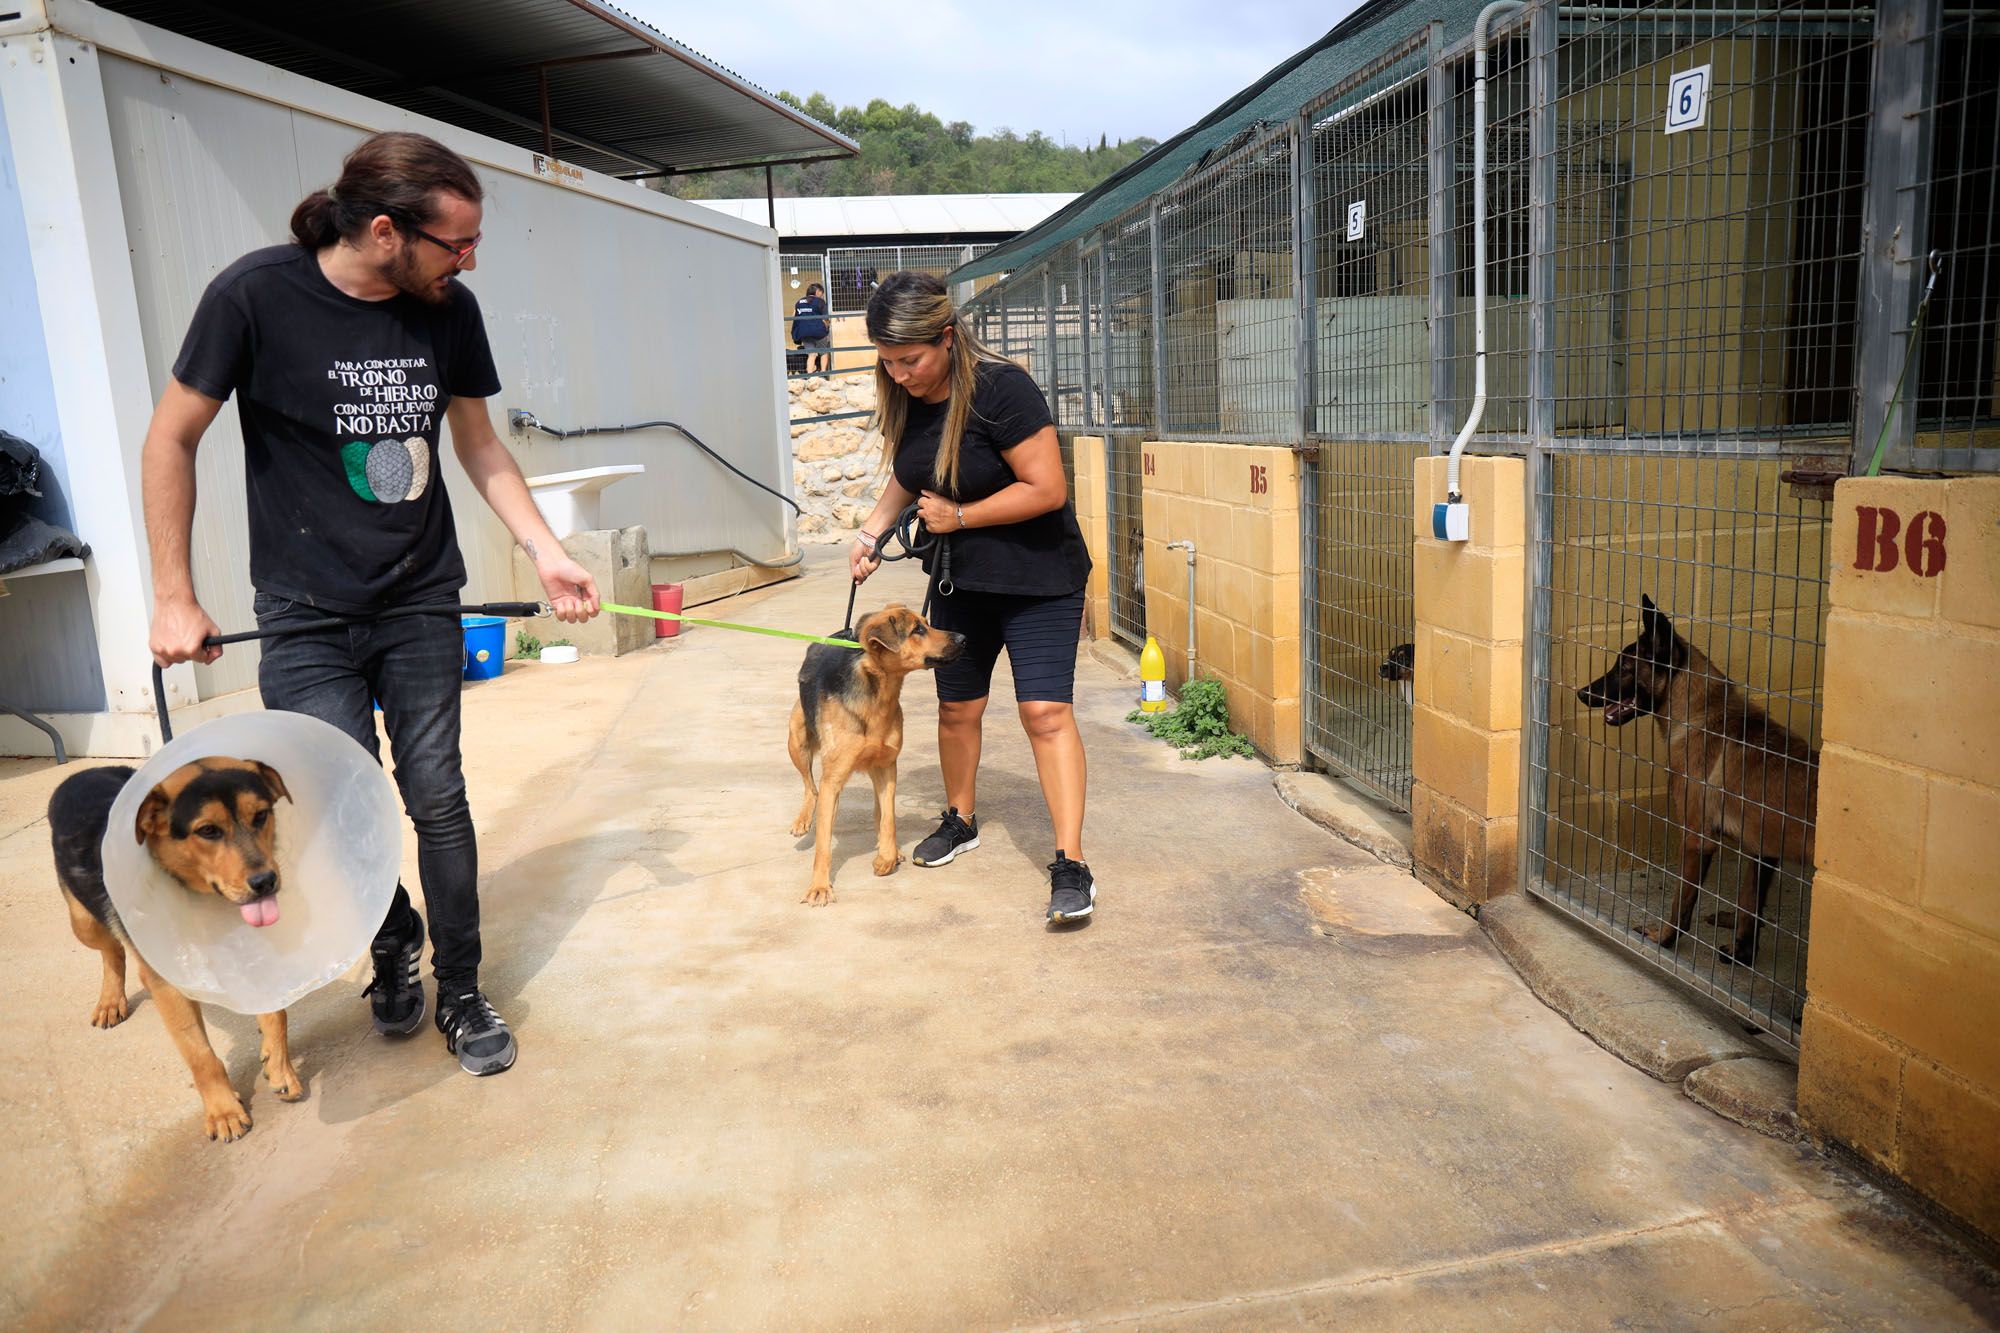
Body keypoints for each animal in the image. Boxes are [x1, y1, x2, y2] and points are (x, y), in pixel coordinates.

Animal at [48, 752, 300, 1136]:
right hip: (84, 923)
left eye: (261, 815)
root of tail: (82, 772)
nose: (265, 882)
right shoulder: (166, 984)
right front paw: (223, 1111)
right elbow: (198, 1053)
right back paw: (110, 1001)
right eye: (207, 830)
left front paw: (279, 1066)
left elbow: (278, 1013)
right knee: (112, 949)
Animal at [784, 600, 964, 904]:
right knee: (811, 787)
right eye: (917, 630)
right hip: (796, 740)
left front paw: (887, 857)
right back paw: (803, 820)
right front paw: (819, 886)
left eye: (926, 624)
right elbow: (823, 842)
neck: (878, 697)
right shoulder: (833, 781)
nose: (963, 638)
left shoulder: (888, 766)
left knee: (878, 812)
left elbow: (888, 818)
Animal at [1568, 596, 1824, 960]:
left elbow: (1681, 904)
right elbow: (1749, 900)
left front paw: (1663, 938)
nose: (1581, 693)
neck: (1699, 714)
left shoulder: (1696, 838)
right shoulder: (1762, 849)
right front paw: (1742, 951)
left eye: (1626, 667)